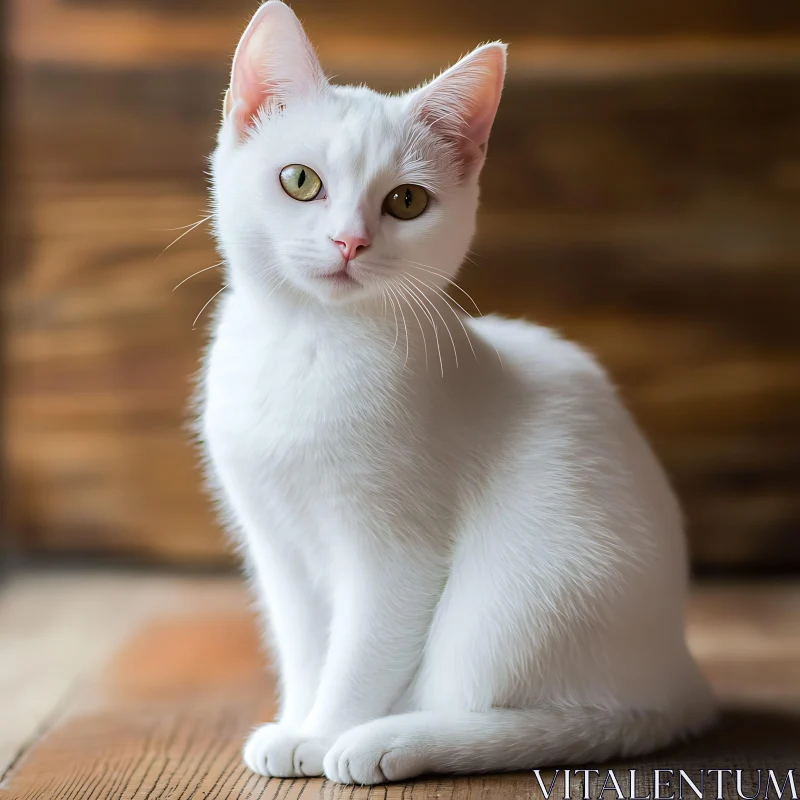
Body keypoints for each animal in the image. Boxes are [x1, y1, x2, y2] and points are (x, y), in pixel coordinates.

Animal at [198, 1, 712, 788]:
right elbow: (306, 643)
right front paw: (297, 721)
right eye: (299, 181)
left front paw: (324, 731)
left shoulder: (396, 554)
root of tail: (683, 678)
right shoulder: (275, 541)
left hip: (516, 593)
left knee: (546, 716)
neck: (308, 347)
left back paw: (393, 740)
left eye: (407, 201)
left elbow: (359, 651)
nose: (349, 242)